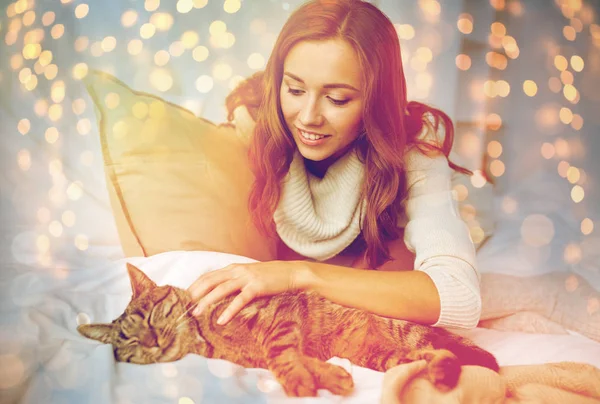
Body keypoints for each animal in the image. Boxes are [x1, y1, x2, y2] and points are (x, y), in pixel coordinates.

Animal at [77, 264, 500, 396]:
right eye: (130, 341)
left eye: (151, 317)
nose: (152, 341)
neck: (202, 339)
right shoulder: (269, 352)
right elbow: (297, 360)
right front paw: (329, 376)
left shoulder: (278, 318)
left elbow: (282, 354)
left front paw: (299, 381)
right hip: (387, 358)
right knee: (426, 356)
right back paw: (440, 371)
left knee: (445, 352)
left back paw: (445, 372)